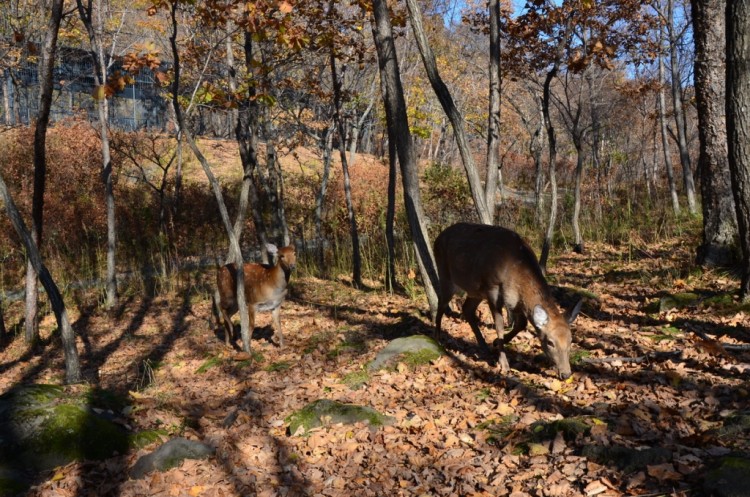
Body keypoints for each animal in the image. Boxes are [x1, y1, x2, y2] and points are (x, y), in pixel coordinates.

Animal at [434, 223, 580, 378]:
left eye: (571, 340)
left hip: (476, 291)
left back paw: (483, 346)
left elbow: (521, 324)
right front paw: (504, 364)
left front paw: (495, 343)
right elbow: (499, 327)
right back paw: (437, 338)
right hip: (446, 274)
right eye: (550, 342)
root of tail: (438, 237)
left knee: (467, 309)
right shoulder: (492, 290)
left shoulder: (515, 301)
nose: (566, 374)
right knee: (441, 302)